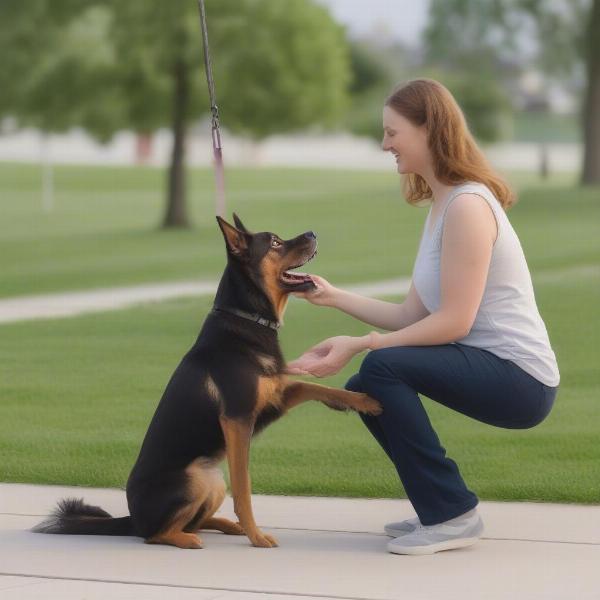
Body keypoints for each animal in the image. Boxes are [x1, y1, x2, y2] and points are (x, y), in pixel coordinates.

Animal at [31, 214, 380, 548]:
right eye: (275, 243)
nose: (312, 233)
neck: (248, 318)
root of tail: (132, 520)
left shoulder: (274, 397)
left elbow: (316, 387)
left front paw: (363, 401)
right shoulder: (238, 419)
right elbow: (244, 488)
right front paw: (257, 537)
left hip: (212, 480)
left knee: (193, 521)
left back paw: (226, 526)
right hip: (195, 479)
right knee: (158, 534)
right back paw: (189, 539)